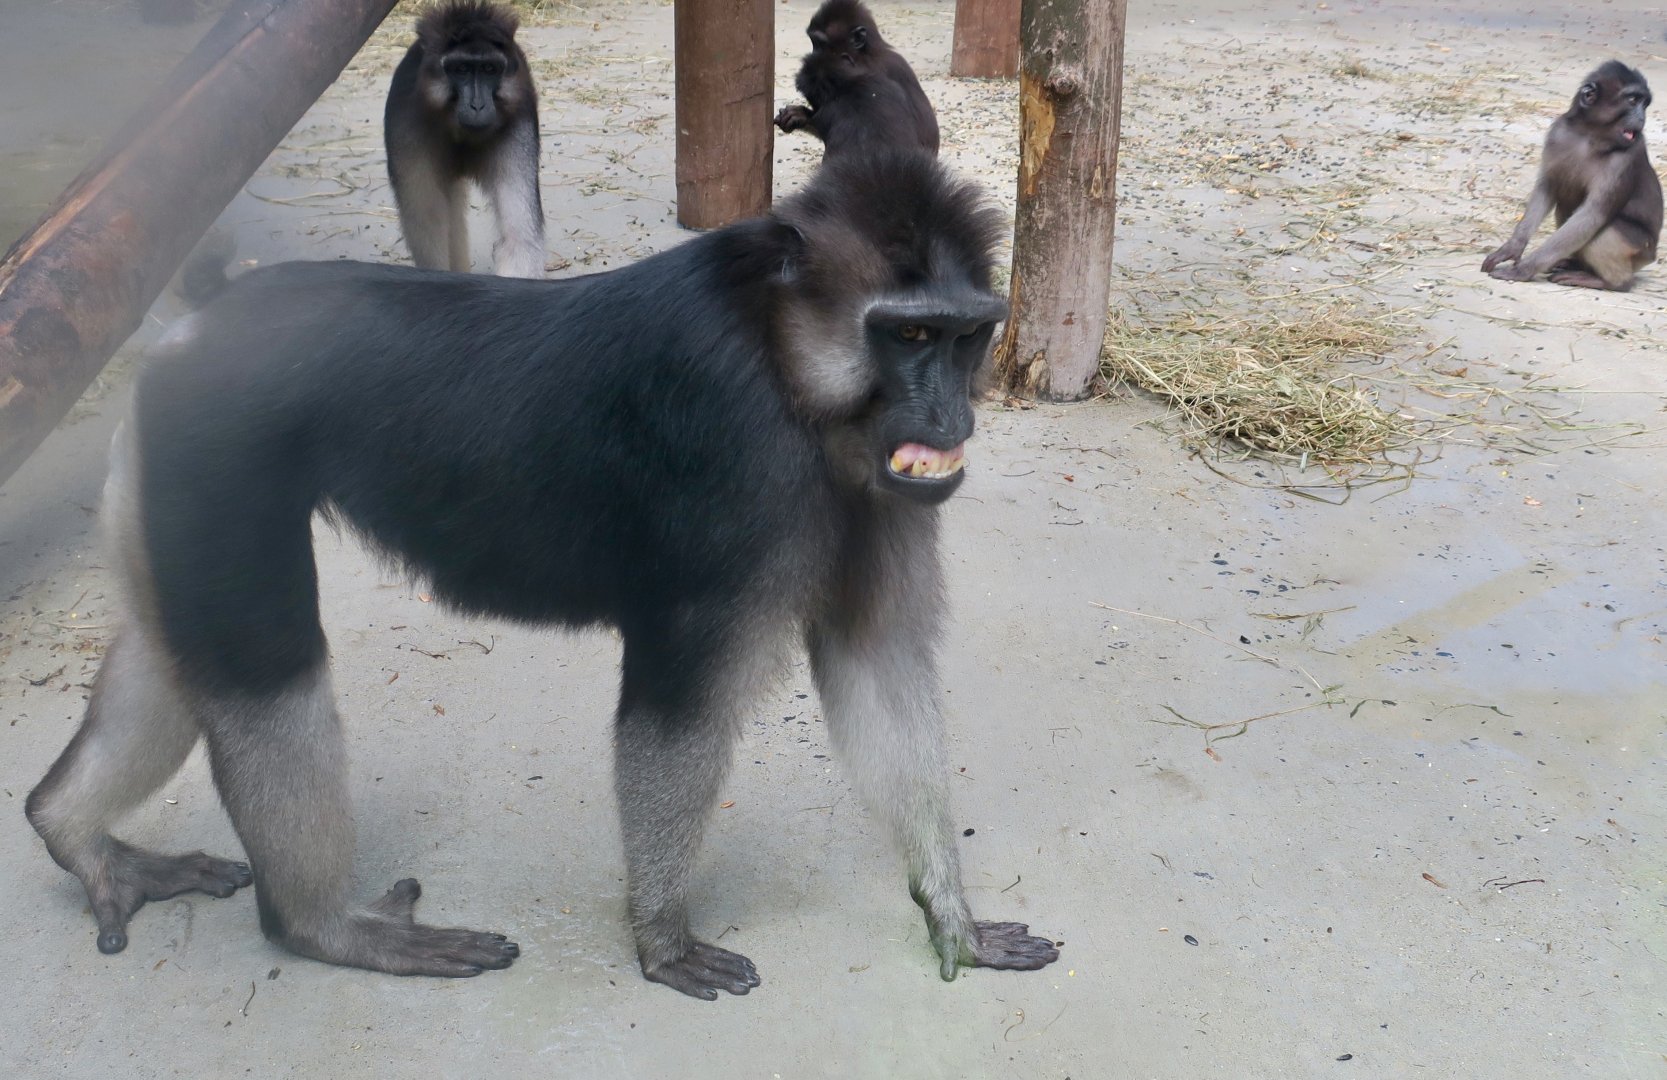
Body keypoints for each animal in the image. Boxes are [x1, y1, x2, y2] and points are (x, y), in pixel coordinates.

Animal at [25, 149, 1060, 999]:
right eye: (909, 338)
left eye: (965, 337)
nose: (951, 419)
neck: (782, 351)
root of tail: (197, 329)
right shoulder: (736, 467)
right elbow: (671, 713)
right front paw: (659, 938)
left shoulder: (875, 493)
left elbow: (876, 662)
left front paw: (950, 915)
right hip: (213, 443)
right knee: (264, 658)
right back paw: (318, 929)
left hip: (163, 463)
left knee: (177, 652)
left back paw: (71, 831)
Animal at [383, 1, 546, 278]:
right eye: (461, 69)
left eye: (489, 69)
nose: (477, 105)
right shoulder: (406, 128)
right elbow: (429, 229)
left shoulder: (519, 123)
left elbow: (518, 240)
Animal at [1483, 61, 1662, 290]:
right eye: (1633, 101)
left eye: (1644, 104)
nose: (1641, 117)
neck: (1591, 134)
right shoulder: (1558, 133)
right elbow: (1547, 188)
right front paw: (1512, 247)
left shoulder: (1627, 157)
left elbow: (1592, 215)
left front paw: (1523, 270)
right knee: (1566, 204)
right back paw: (1577, 265)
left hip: (1641, 250)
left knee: (1608, 230)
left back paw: (1611, 282)